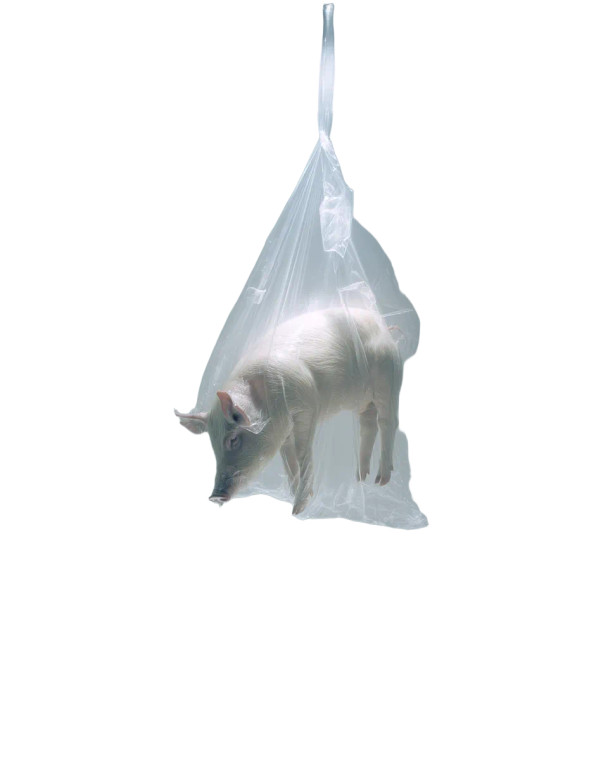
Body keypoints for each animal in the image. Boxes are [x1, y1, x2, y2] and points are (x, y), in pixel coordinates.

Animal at [175, 307, 403, 515]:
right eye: (212, 443)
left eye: (233, 439)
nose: (214, 496)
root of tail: (383, 325)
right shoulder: (283, 432)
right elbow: (288, 461)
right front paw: (295, 495)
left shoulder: (306, 405)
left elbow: (302, 453)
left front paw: (297, 510)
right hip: (363, 401)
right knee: (368, 426)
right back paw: (361, 477)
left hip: (389, 378)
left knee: (388, 422)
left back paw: (381, 480)